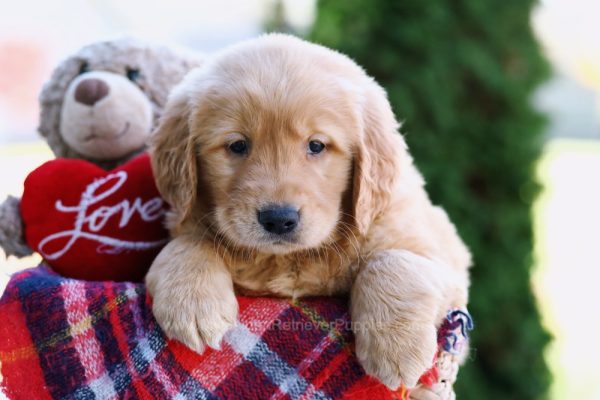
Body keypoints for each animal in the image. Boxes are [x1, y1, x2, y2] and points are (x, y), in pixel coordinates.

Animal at [145, 34, 468, 390]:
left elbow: (394, 260)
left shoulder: (443, 253)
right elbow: (187, 243)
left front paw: (397, 349)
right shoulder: (186, 219)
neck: (287, 260)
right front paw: (192, 305)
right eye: (237, 145)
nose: (278, 219)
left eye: (316, 145)